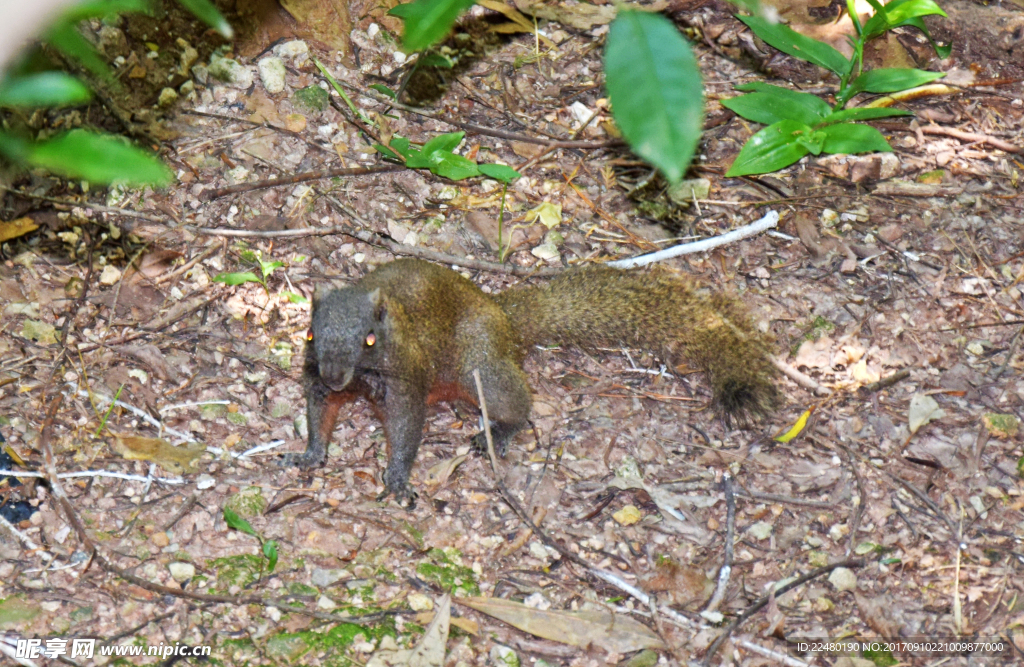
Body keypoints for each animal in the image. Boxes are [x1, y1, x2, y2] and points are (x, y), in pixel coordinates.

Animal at [284, 258, 778, 504]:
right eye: (309, 334)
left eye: (369, 339)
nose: (334, 374)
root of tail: (505, 322)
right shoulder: (318, 383)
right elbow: (319, 413)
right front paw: (309, 454)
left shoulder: (405, 381)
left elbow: (406, 429)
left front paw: (398, 479)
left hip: (479, 367)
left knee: (517, 402)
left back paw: (500, 431)